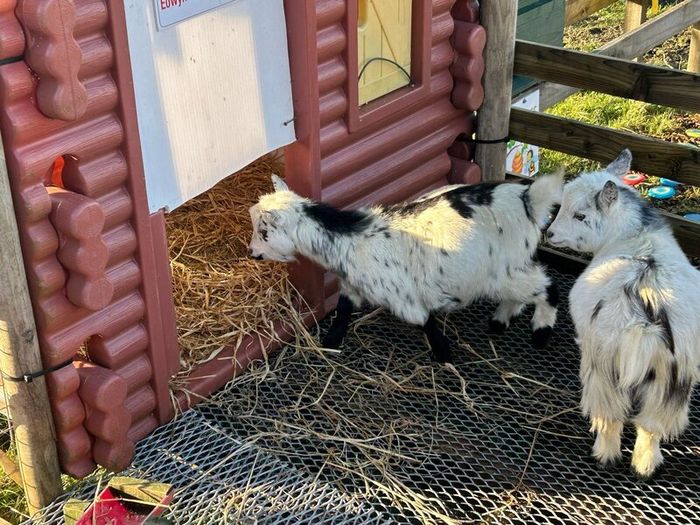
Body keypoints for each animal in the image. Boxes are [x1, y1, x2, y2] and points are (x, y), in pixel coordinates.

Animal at [249, 173, 563, 362]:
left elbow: (425, 321)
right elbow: (343, 309)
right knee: (526, 290)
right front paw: (332, 341)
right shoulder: (354, 285)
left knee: (548, 287)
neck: (351, 238)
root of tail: (528, 199)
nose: (252, 253)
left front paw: (444, 355)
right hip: (511, 266)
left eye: (264, 232)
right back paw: (500, 321)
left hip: (500, 270)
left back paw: (540, 332)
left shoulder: (403, 296)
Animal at [547, 149, 700, 477]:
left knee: (610, 416)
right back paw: (646, 466)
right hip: (674, 379)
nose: (549, 233)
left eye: (581, 215)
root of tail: (643, 325)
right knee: (651, 424)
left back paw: (605, 455)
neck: (636, 235)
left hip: (602, 367)